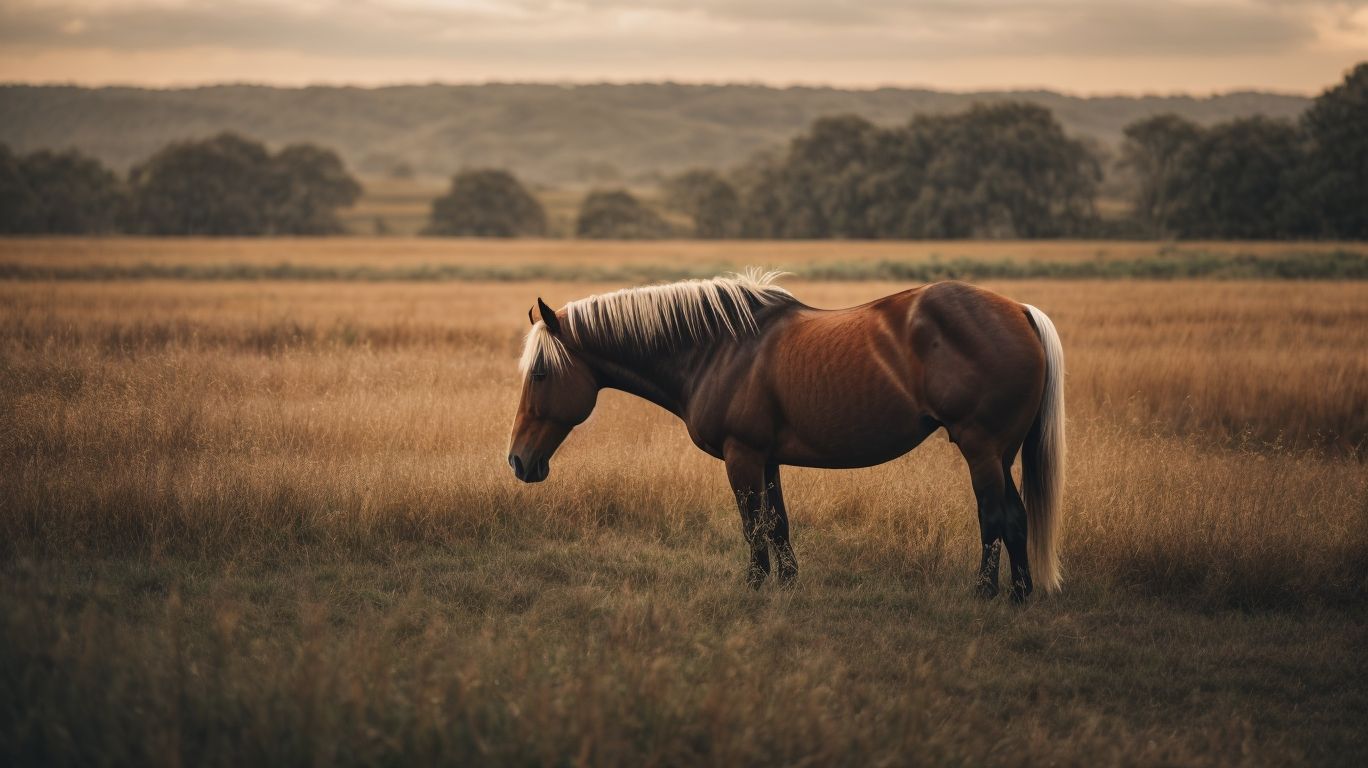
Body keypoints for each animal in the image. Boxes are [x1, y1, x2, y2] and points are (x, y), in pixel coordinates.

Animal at [506, 270, 1065, 601]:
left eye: (540, 373)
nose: (517, 461)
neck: (718, 349)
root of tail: (1019, 310)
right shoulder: (767, 459)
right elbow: (778, 524)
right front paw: (788, 586)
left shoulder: (742, 457)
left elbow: (753, 528)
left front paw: (754, 589)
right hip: (1001, 453)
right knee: (1016, 518)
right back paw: (1019, 595)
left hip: (981, 450)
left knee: (994, 517)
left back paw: (985, 594)